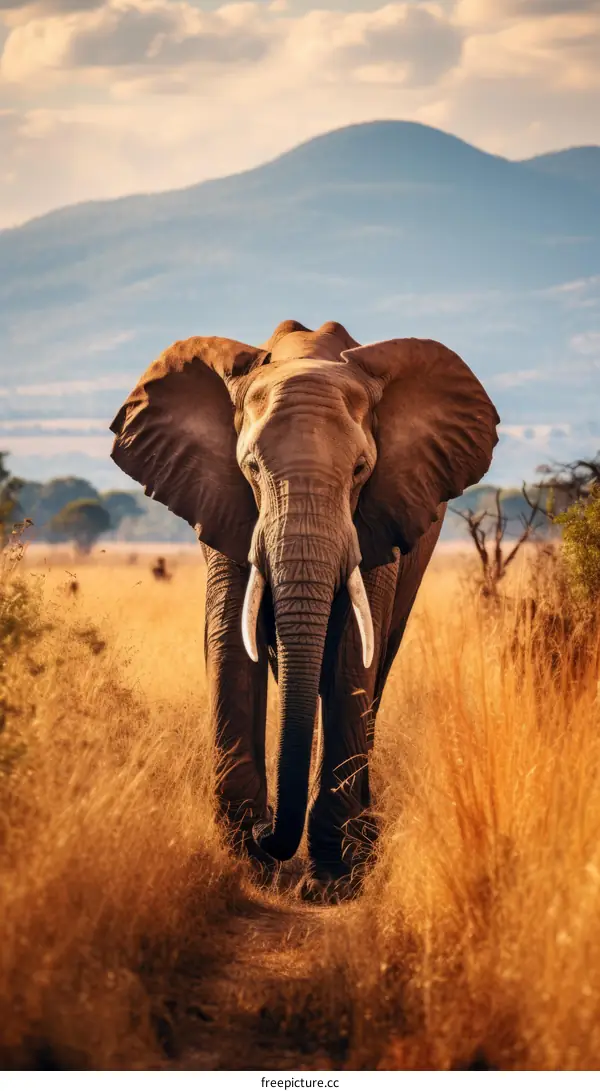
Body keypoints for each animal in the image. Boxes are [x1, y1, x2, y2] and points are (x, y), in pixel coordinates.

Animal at [110, 319, 499, 896]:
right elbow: (231, 641)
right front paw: (249, 865)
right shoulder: (223, 503)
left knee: (375, 666)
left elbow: (353, 653)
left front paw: (332, 880)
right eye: (250, 467)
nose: (265, 830)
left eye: (361, 469)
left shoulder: (381, 514)